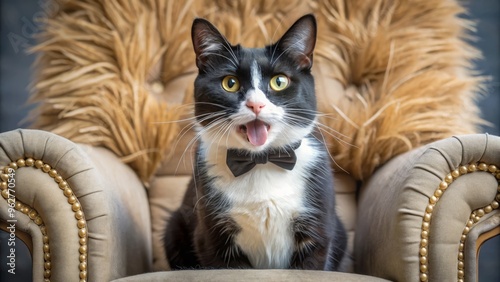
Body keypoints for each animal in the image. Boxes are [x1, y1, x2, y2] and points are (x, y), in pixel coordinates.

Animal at [166, 14, 346, 270]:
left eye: (279, 81)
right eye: (230, 83)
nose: (256, 105)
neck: (261, 161)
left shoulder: (319, 228)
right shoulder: (211, 238)